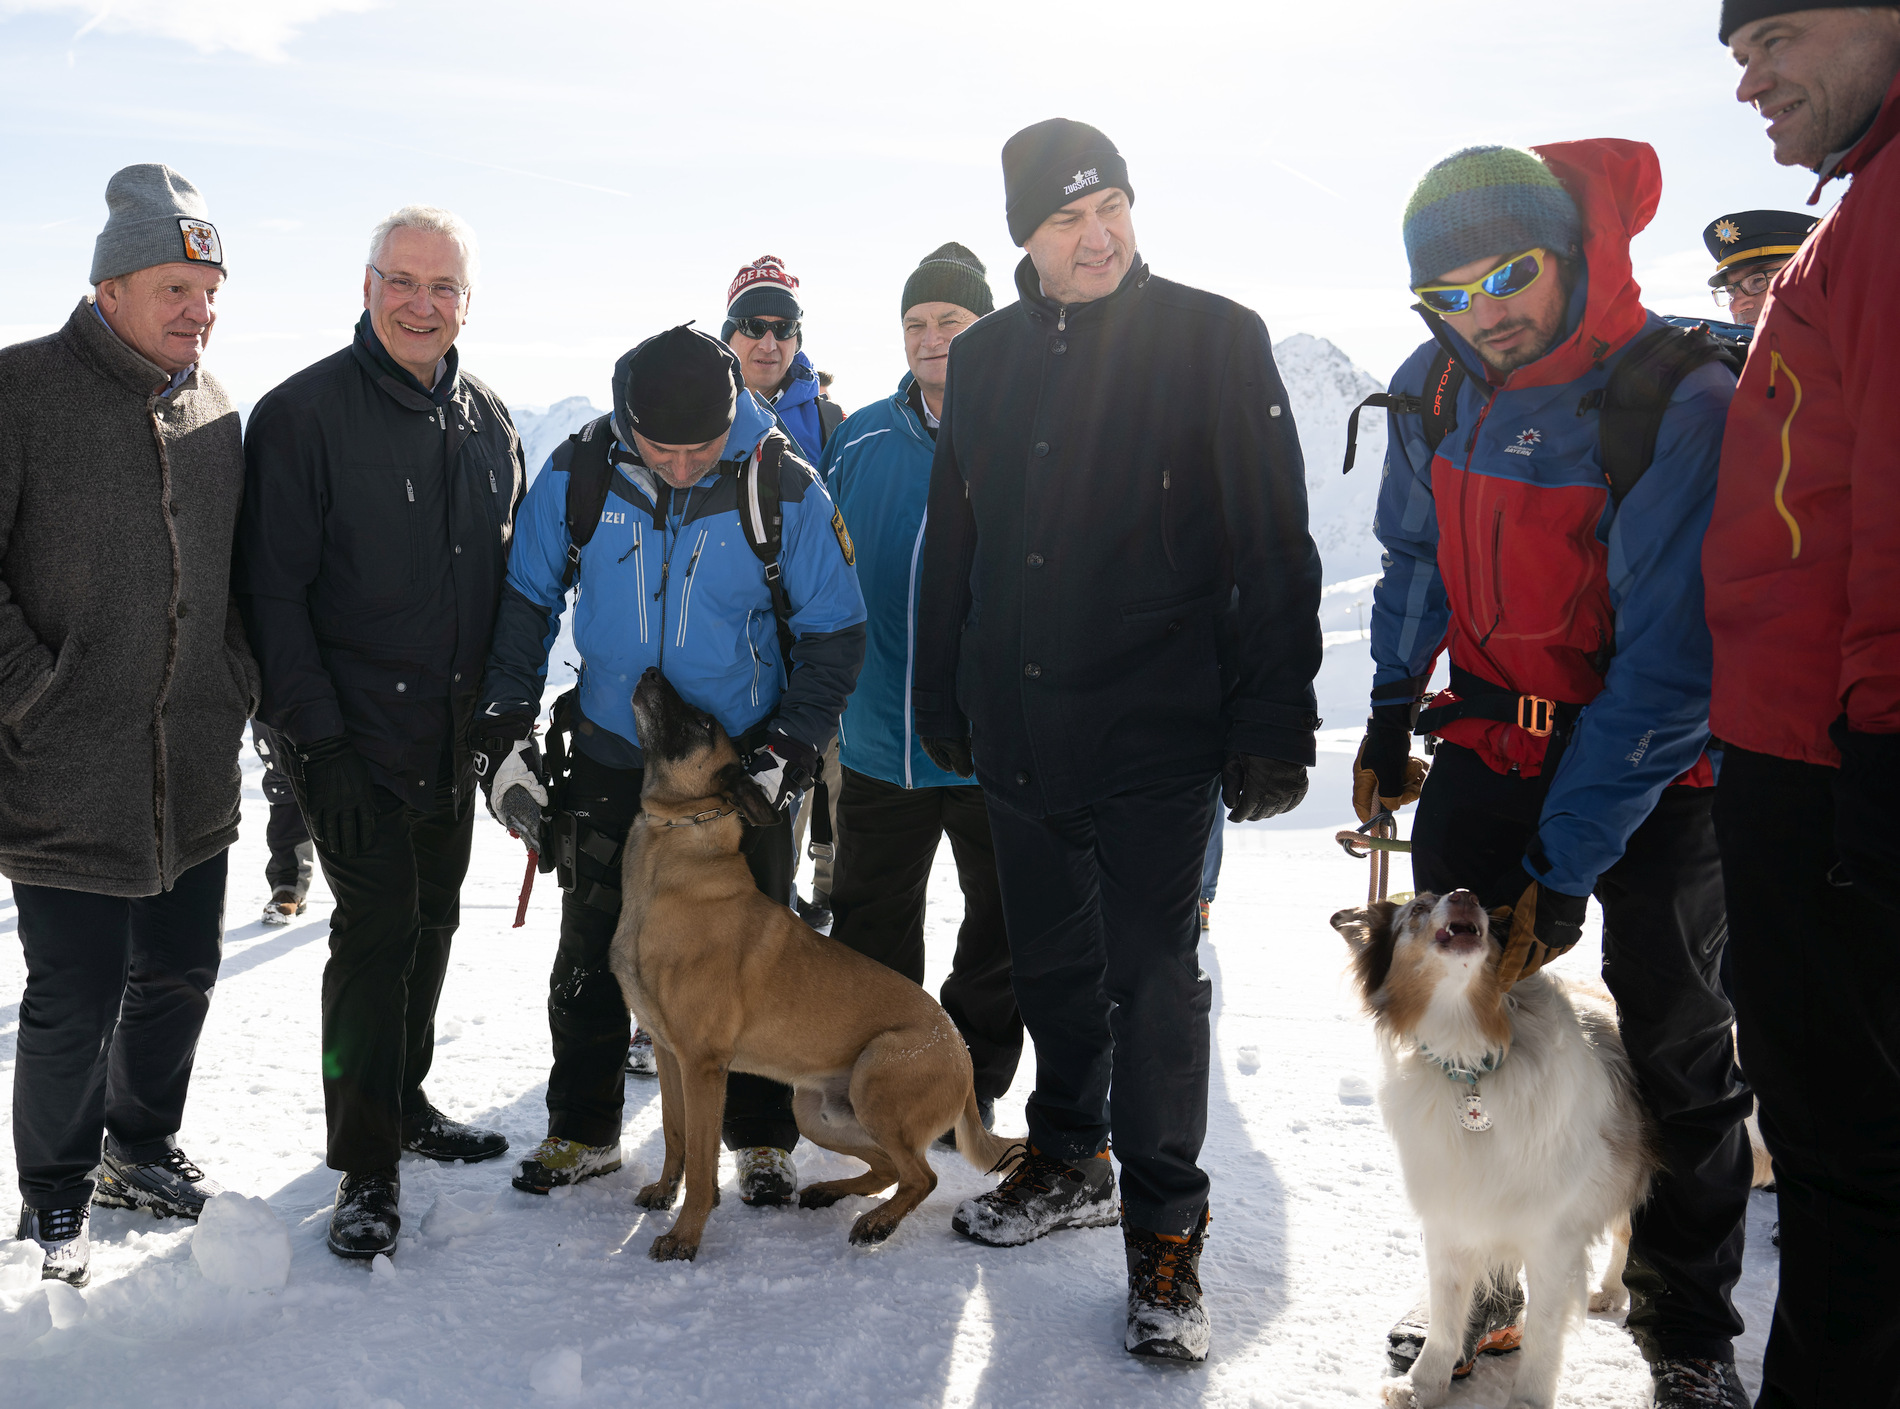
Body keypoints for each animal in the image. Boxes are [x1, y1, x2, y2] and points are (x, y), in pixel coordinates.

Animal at [615, 668, 1018, 1260]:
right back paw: (834, 1192)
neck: (678, 842)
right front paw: (665, 1193)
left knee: (921, 1176)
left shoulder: (703, 1066)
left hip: (877, 1078)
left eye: (704, 722)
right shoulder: (670, 1056)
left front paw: (685, 1236)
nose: (648, 671)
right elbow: (674, 1135)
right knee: (887, 1168)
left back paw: (877, 1223)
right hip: (817, 1109)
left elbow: (703, 1160)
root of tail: (962, 1057)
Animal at [1330, 892, 1656, 1409]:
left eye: (1480, 902)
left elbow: (1543, 1332)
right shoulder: (1451, 1215)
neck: (1471, 1059)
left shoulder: (1552, 1234)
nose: (1465, 895)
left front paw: (1529, 1400)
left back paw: (1610, 1291)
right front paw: (1422, 1385)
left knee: (1626, 1232)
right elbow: (1446, 1317)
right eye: (1417, 909)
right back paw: (1608, 1292)